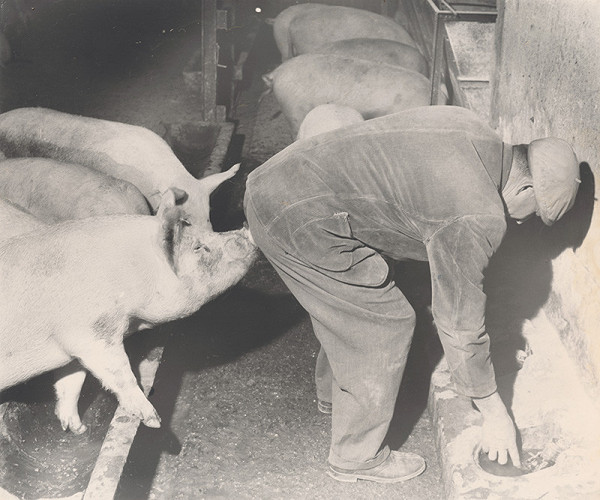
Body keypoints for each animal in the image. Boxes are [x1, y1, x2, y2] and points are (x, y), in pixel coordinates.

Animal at [0, 188, 255, 430]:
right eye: (199, 247)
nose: (247, 229)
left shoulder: (69, 346)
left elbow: (72, 379)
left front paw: (75, 428)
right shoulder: (91, 331)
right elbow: (119, 371)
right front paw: (154, 420)